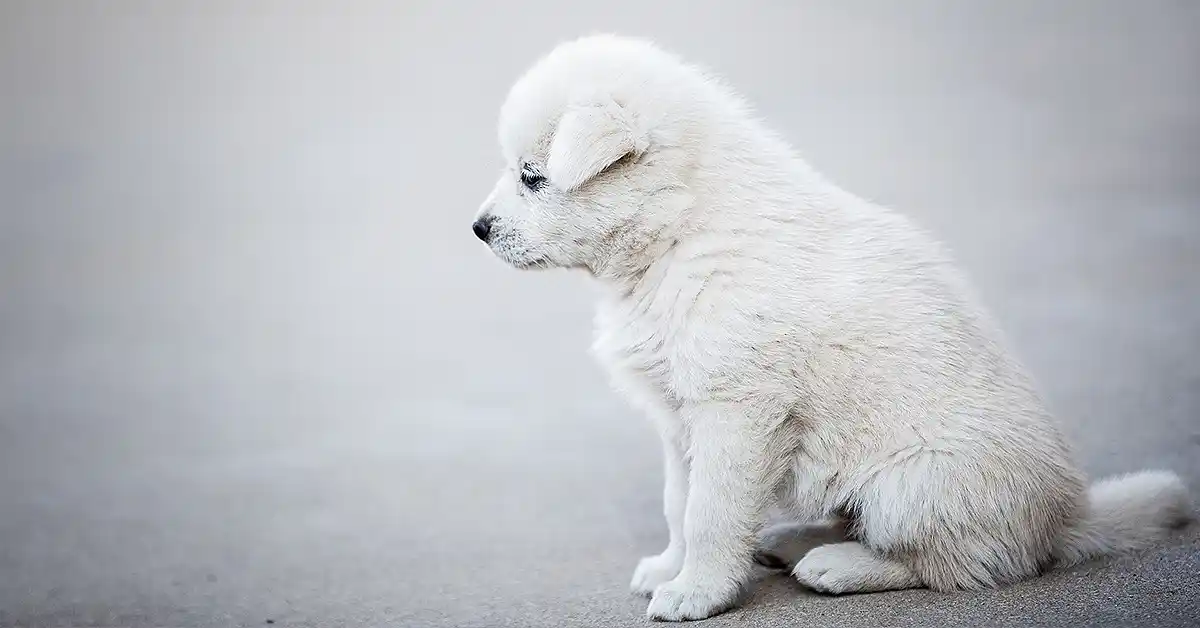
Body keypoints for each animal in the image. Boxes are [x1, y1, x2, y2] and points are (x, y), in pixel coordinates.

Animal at [468, 36, 1190, 619]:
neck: (680, 234)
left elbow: (709, 512)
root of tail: (1067, 519)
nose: (477, 229)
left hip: (913, 485)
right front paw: (670, 569)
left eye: (532, 177)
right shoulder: (679, 418)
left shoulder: (735, 412)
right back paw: (793, 541)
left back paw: (837, 566)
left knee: (958, 565)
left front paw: (697, 592)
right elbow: (679, 502)